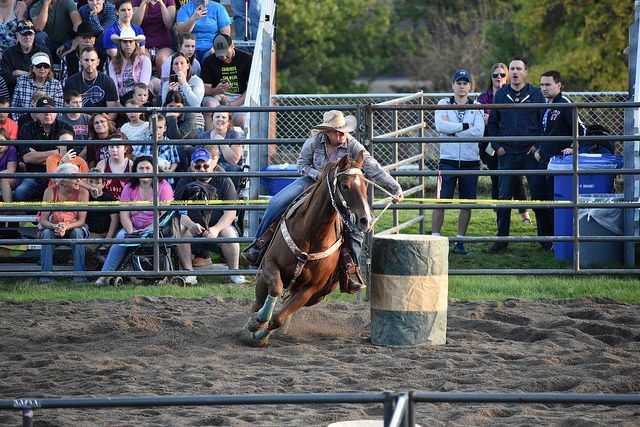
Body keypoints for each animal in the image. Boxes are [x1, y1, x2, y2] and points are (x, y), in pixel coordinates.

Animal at [240, 152, 372, 346]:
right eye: (345, 185)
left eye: (365, 184)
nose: (366, 220)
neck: (311, 235)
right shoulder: (270, 265)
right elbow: (275, 289)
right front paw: (256, 323)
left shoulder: (310, 288)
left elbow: (278, 318)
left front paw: (261, 334)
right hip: (264, 279)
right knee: (259, 301)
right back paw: (247, 326)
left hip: (317, 296)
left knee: (286, 311)